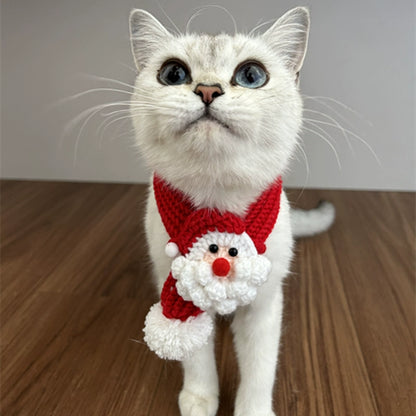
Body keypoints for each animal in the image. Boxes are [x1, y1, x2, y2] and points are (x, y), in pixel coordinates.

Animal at [130, 7, 334, 416]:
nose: (208, 89)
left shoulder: (265, 306)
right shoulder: (176, 292)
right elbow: (196, 359)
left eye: (251, 75)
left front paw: (252, 410)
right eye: (173, 74)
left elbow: (259, 369)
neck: (216, 202)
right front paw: (199, 399)